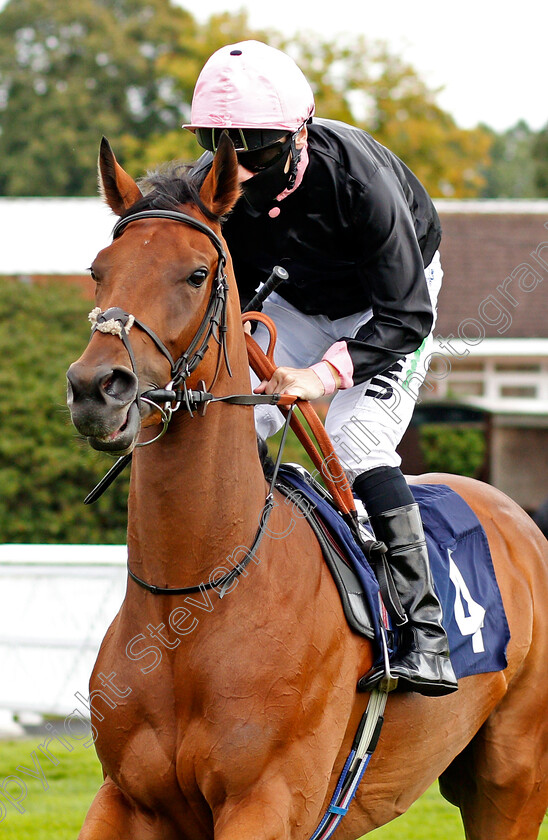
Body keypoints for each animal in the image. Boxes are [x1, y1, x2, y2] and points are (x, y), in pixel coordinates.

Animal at [67, 135, 548, 836]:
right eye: (99, 270)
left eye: (195, 274)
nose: (96, 388)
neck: (194, 602)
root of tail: (518, 519)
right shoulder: (126, 799)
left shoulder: (268, 800)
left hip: (512, 778)